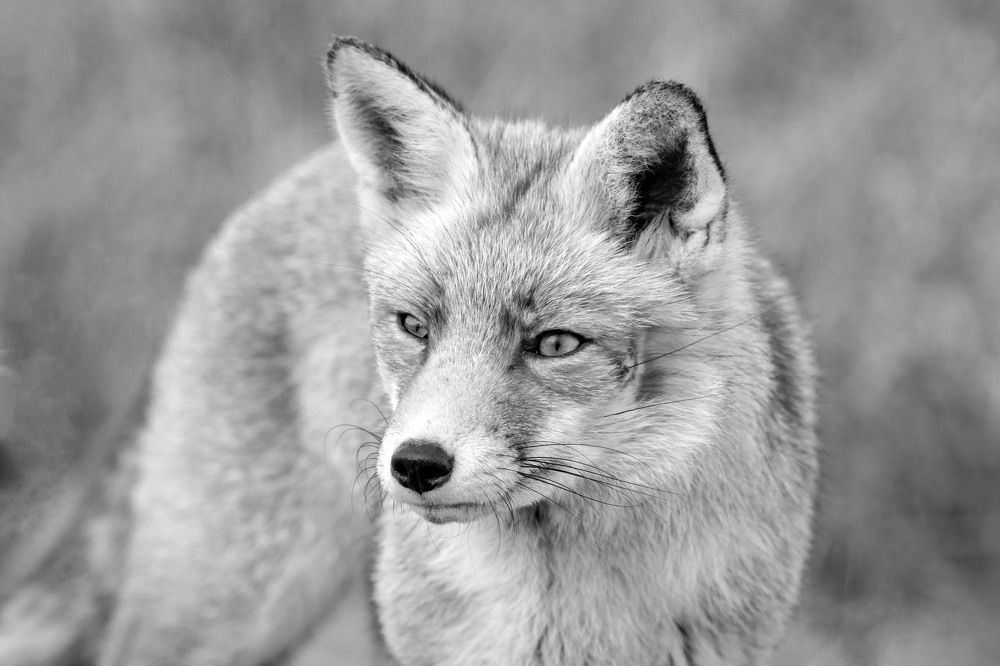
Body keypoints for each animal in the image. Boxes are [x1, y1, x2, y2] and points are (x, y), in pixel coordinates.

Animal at [97, 36, 819, 666]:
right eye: (415, 326)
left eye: (554, 343)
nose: (416, 465)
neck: (567, 610)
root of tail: (309, 169)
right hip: (227, 606)